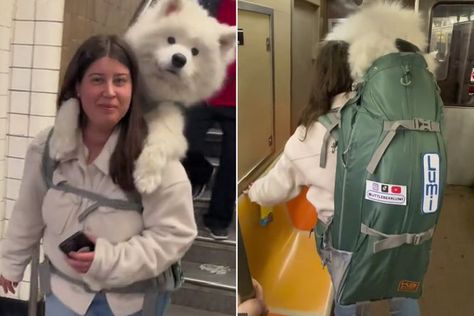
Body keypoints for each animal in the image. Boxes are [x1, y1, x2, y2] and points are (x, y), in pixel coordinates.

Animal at [49, 0, 235, 193]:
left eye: (195, 51)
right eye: (171, 39)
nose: (179, 59)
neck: (149, 93)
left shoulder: (169, 112)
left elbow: (162, 140)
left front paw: (146, 177)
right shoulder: (73, 94)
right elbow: (70, 104)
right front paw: (60, 144)